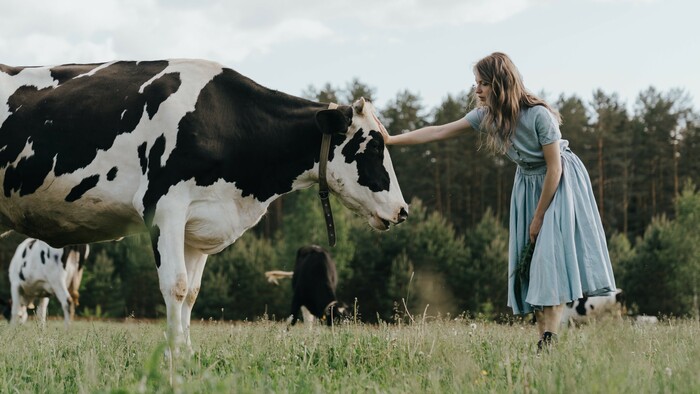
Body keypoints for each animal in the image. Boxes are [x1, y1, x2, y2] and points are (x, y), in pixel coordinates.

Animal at [0, 59, 408, 354]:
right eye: (374, 145)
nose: (403, 210)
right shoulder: (164, 207)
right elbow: (176, 286)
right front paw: (173, 356)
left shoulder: (199, 224)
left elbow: (192, 293)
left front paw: (187, 353)